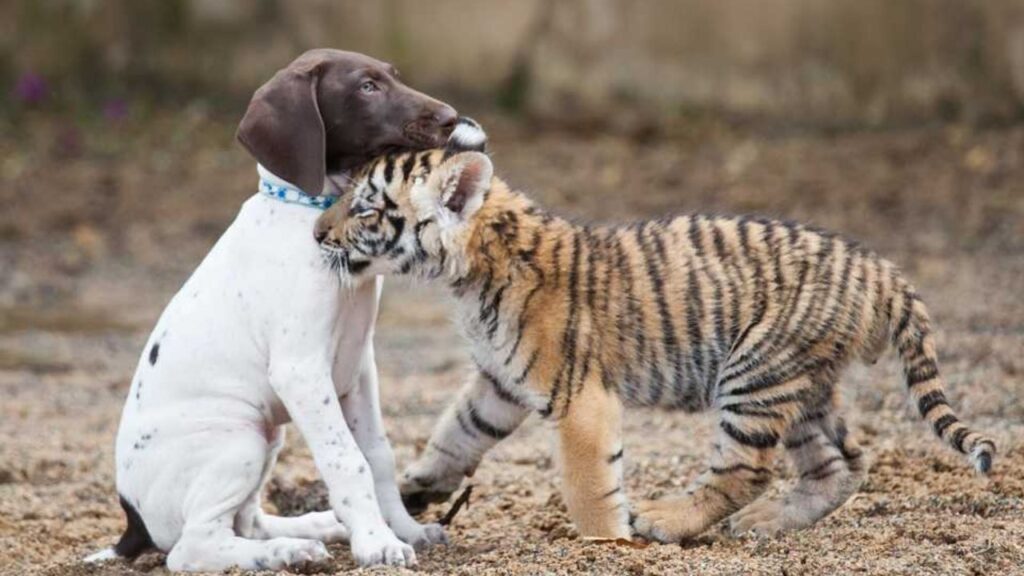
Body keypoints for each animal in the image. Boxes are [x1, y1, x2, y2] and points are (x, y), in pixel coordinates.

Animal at [84, 50, 460, 569]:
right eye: (367, 87)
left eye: (393, 76)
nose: (451, 118)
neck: (313, 214)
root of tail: (132, 522)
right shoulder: (301, 372)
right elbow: (348, 460)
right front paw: (376, 542)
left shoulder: (358, 367)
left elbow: (379, 455)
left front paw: (404, 529)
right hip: (238, 439)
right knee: (193, 547)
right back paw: (286, 551)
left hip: (268, 437)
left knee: (247, 521)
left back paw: (312, 529)